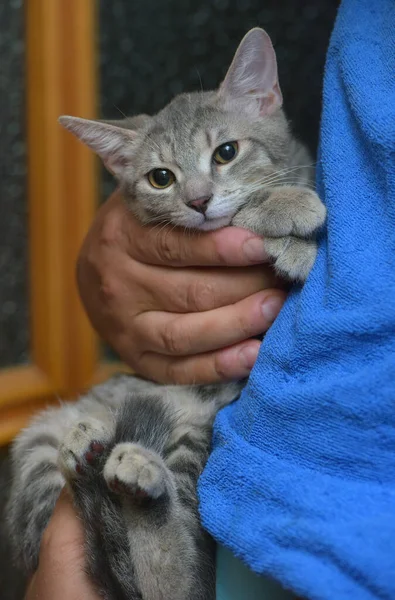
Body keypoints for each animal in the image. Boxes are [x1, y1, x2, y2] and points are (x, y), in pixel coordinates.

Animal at [6, 27, 326, 600]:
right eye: (160, 178)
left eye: (226, 152)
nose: (198, 201)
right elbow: (236, 218)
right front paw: (285, 210)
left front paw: (292, 233)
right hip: (44, 444)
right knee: (173, 582)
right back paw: (110, 464)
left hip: (202, 440)